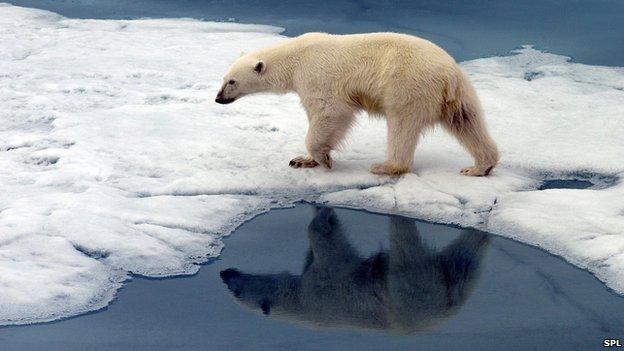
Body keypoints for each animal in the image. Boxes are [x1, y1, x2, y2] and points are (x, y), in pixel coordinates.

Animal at [217, 32, 500, 176]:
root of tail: (449, 73)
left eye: (232, 81)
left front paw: (323, 159)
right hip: (459, 94)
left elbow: (331, 111)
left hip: (408, 86)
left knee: (401, 125)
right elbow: (314, 114)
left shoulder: (317, 76)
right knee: (467, 121)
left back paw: (386, 166)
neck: (296, 57)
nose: (218, 98)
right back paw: (480, 166)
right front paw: (302, 160)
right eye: (223, 78)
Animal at [219, 208, 488, 334]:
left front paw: (323, 214)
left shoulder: (322, 285)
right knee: (464, 259)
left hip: (411, 293)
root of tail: (449, 301)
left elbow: (324, 240)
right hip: (448, 281)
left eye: (237, 293)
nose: (225, 275)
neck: (300, 301)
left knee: (403, 252)